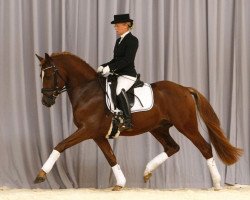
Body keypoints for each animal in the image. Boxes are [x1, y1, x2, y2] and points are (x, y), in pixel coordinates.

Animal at [33, 51, 242, 191]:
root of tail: (184, 88)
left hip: (186, 126)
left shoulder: (87, 130)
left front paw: (41, 175)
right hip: (158, 128)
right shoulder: (98, 135)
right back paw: (147, 171)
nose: (45, 101)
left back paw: (217, 184)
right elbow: (111, 157)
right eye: (40, 75)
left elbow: (60, 145)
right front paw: (120, 184)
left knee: (205, 148)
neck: (87, 91)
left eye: (49, 74)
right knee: (172, 147)